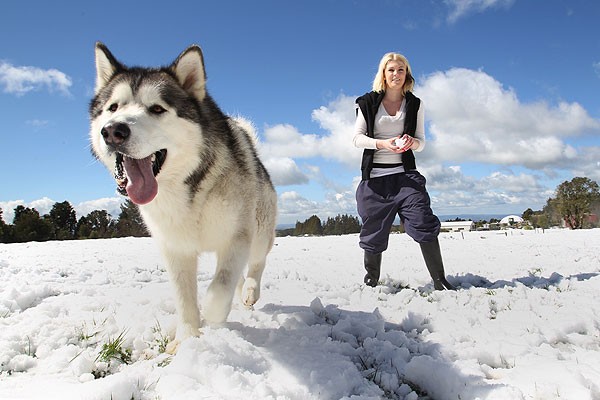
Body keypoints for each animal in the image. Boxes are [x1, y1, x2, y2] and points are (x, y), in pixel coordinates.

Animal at [89, 41, 278, 346]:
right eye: (113, 107)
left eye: (157, 108)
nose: (113, 131)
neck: (188, 189)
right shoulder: (175, 248)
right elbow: (185, 298)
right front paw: (188, 337)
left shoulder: (237, 236)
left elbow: (220, 287)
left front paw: (212, 315)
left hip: (260, 231)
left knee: (256, 263)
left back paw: (249, 291)